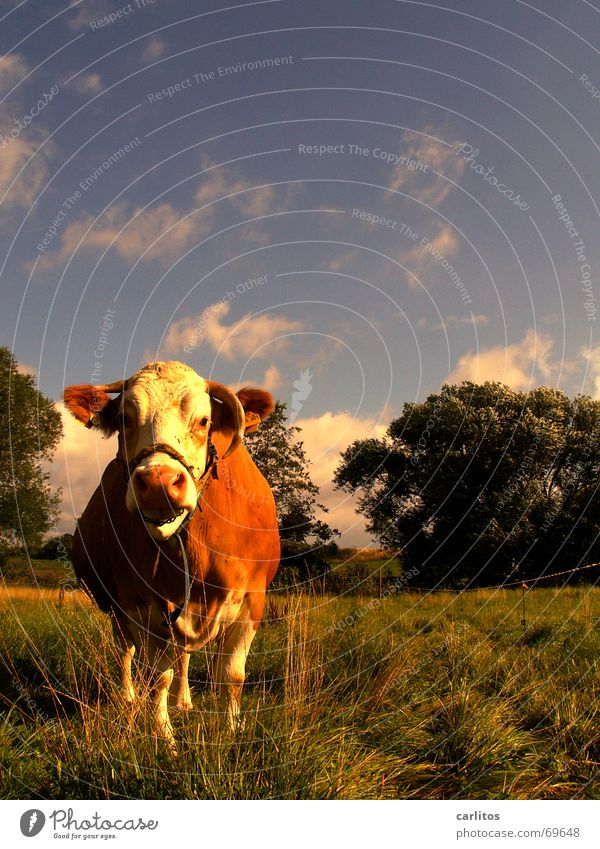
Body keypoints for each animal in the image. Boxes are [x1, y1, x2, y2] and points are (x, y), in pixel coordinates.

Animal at [64, 362, 280, 744]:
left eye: (204, 421)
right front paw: (163, 737)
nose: (159, 483)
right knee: (126, 653)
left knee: (181, 655)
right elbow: (156, 677)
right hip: (116, 607)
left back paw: (184, 702)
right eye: (125, 418)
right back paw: (128, 699)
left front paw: (231, 731)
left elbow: (232, 675)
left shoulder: (252, 599)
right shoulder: (139, 603)